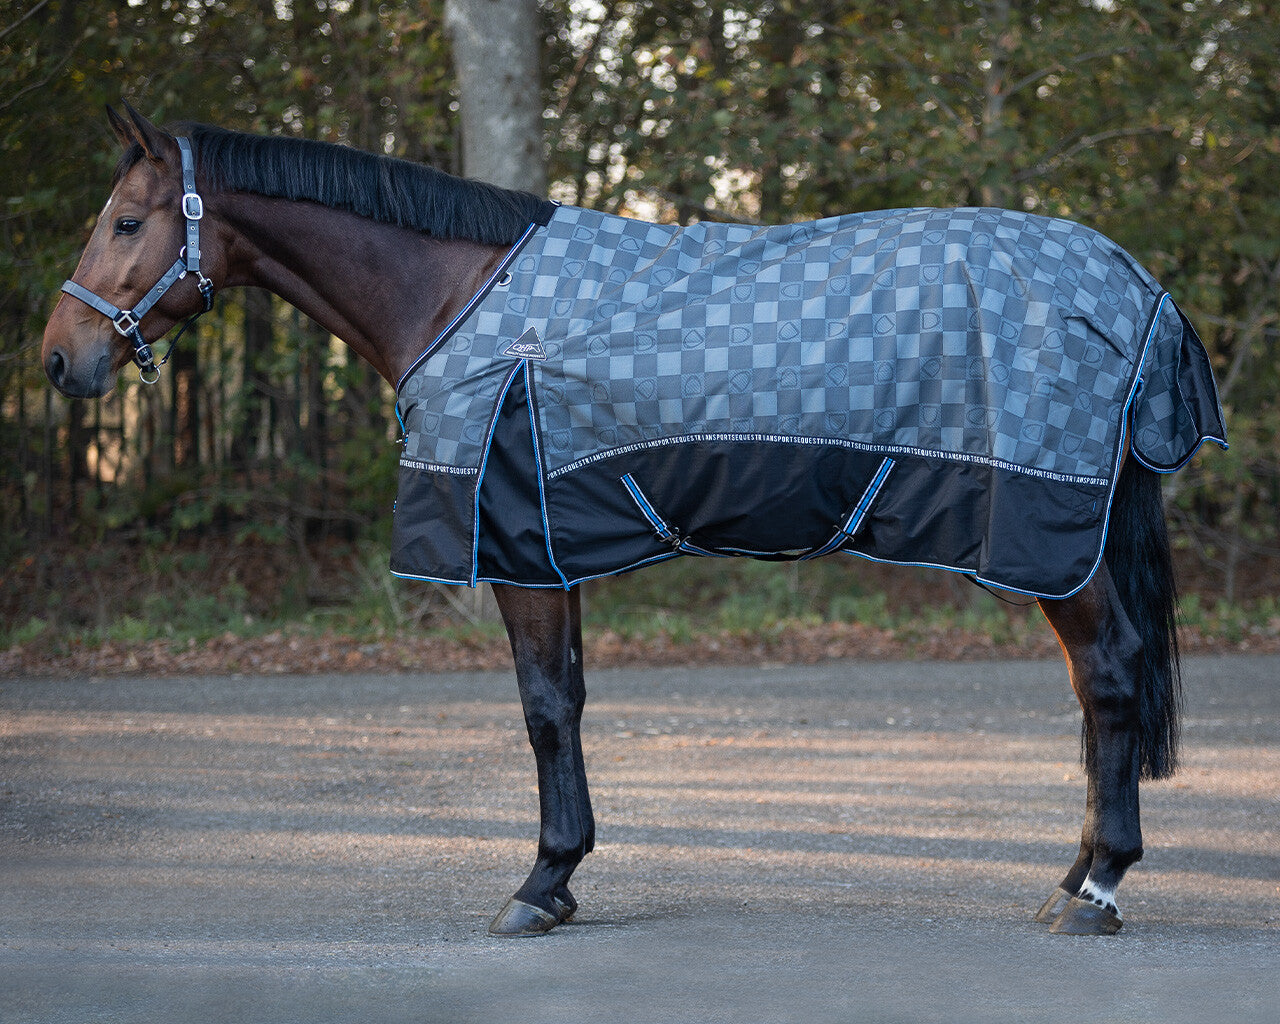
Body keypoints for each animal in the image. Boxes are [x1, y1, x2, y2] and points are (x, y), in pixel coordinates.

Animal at [43, 104, 1226, 937]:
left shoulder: (516, 551)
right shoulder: (547, 547)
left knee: (1108, 677)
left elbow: (540, 712)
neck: (457, 293)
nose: (62, 360)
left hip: (1049, 534)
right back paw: (1075, 872)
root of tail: (1135, 285)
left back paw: (1096, 887)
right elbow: (564, 703)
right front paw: (560, 877)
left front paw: (537, 883)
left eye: (128, 221)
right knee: (1097, 690)